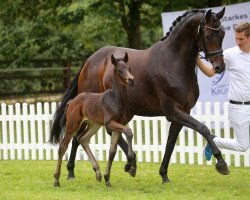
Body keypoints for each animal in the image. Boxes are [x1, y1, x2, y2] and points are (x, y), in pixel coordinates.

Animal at [53, 52, 135, 188]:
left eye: (129, 68)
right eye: (119, 70)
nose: (131, 80)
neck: (115, 98)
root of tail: (72, 101)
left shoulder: (119, 125)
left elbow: (112, 151)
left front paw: (107, 179)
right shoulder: (109, 124)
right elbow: (129, 132)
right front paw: (129, 165)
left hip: (93, 125)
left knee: (82, 139)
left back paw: (98, 173)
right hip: (73, 125)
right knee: (63, 146)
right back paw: (56, 180)